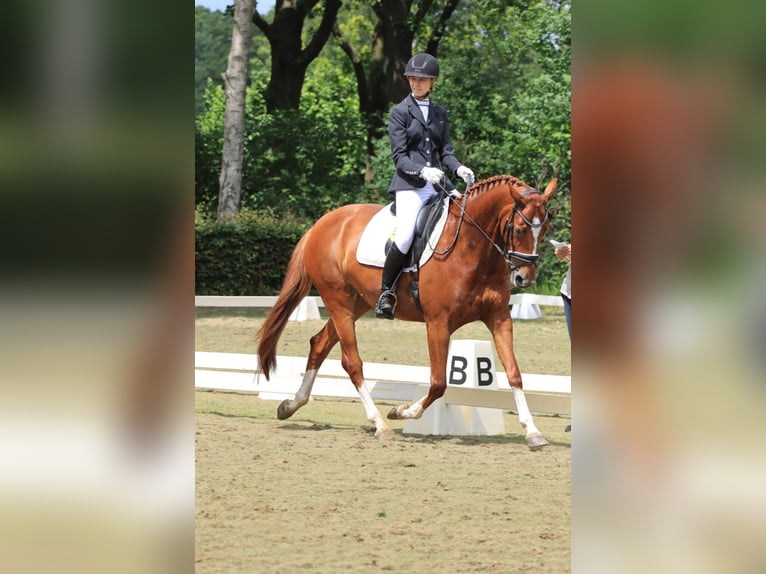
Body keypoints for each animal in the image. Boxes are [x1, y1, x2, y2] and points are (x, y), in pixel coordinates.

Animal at [256, 176, 560, 450]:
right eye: (519, 229)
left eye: (544, 229)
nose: (524, 279)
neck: (473, 245)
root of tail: (322, 224)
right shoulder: (438, 322)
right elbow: (438, 383)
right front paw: (400, 412)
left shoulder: (499, 318)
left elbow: (514, 374)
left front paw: (533, 432)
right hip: (338, 300)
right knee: (352, 362)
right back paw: (380, 423)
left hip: (358, 303)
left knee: (319, 344)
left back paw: (290, 405)